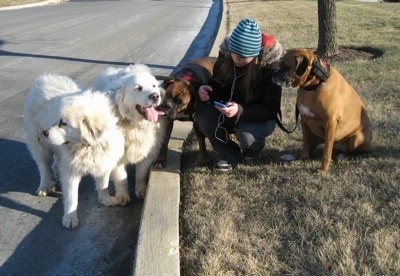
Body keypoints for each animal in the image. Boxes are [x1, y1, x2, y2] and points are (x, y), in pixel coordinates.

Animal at [22, 73, 125, 229]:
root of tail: (43, 78)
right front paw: (70, 218)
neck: (88, 146)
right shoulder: (71, 172)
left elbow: (103, 185)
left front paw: (105, 199)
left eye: (63, 123)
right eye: (57, 120)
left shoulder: (103, 162)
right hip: (39, 144)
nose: (45, 132)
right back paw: (45, 185)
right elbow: (71, 198)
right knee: (43, 165)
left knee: (56, 160)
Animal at [93, 64, 166, 202]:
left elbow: (141, 175)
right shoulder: (117, 158)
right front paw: (123, 196)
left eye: (154, 86)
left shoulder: (148, 154)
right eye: (138, 88)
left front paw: (142, 191)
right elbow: (122, 179)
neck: (136, 126)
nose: (155, 96)